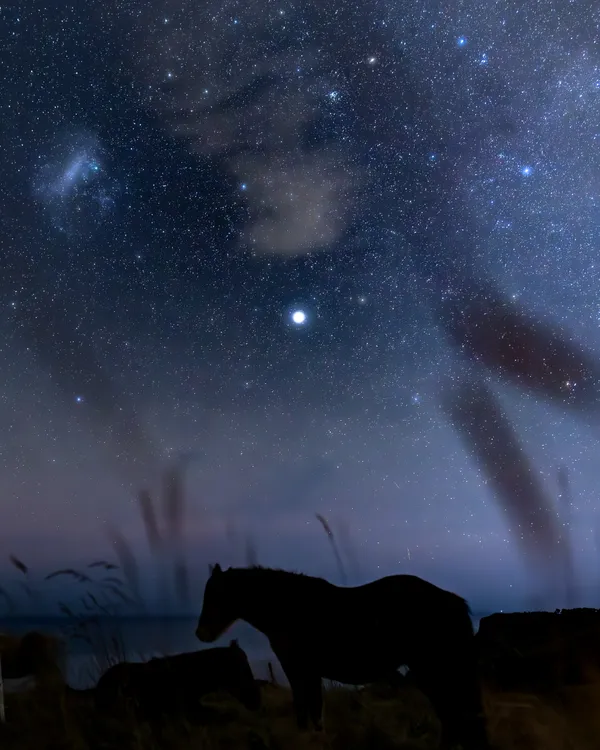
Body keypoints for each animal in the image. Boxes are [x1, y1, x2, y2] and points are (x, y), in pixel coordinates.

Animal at [197, 568, 488, 748]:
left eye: (215, 595)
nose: (200, 633)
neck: (289, 607)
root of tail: (454, 601)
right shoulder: (308, 673)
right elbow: (313, 712)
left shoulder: (299, 671)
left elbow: (305, 710)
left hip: (433, 671)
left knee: (454, 716)